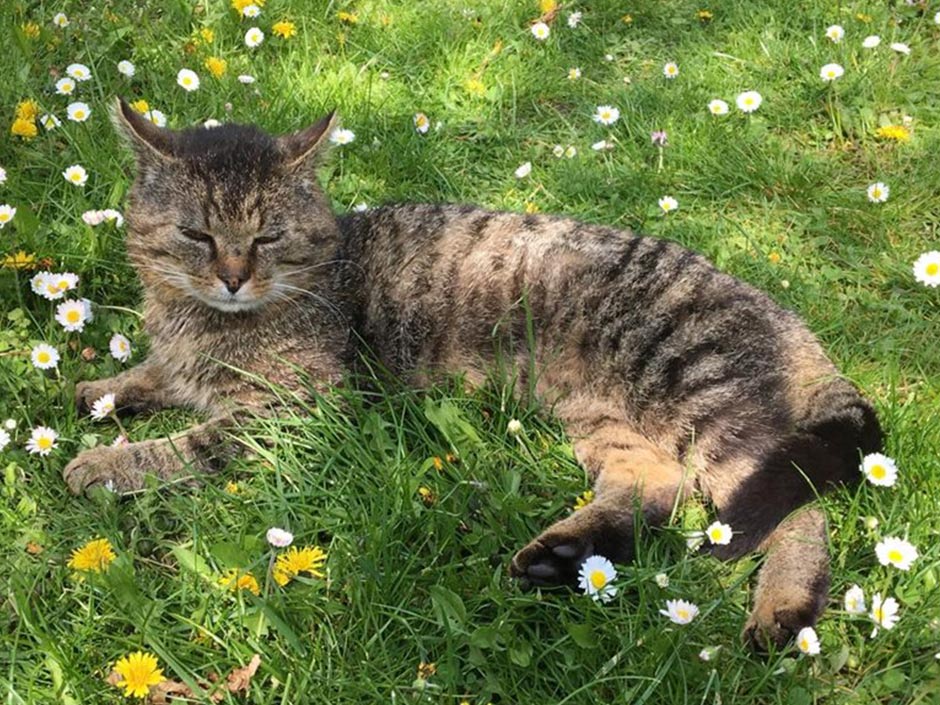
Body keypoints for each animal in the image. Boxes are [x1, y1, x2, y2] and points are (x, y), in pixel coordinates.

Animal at [64, 99, 880, 648]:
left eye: (266, 236)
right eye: (195, 234)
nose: (232, 278)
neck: (202, 318)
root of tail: (776, 307)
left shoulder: (297, 410)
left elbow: (191, 443)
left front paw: (102, 463)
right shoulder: (185, 361)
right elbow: (153, 375)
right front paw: (101, 392)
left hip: (697, 395)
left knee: (791, 502)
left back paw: (782, 611)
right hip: (605, 417)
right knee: (657, 487)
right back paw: (562, 556)